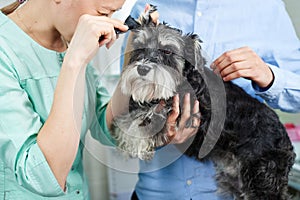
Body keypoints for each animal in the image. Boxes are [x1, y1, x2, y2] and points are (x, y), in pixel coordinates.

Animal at [110, 6, 296, 200]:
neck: (187, 77)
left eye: (167, 51)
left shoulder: (182, 110)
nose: (143, 69)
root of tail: (285, 140)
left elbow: (144, 120)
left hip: (262, 181)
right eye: (140, 47)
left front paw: (132, 140)